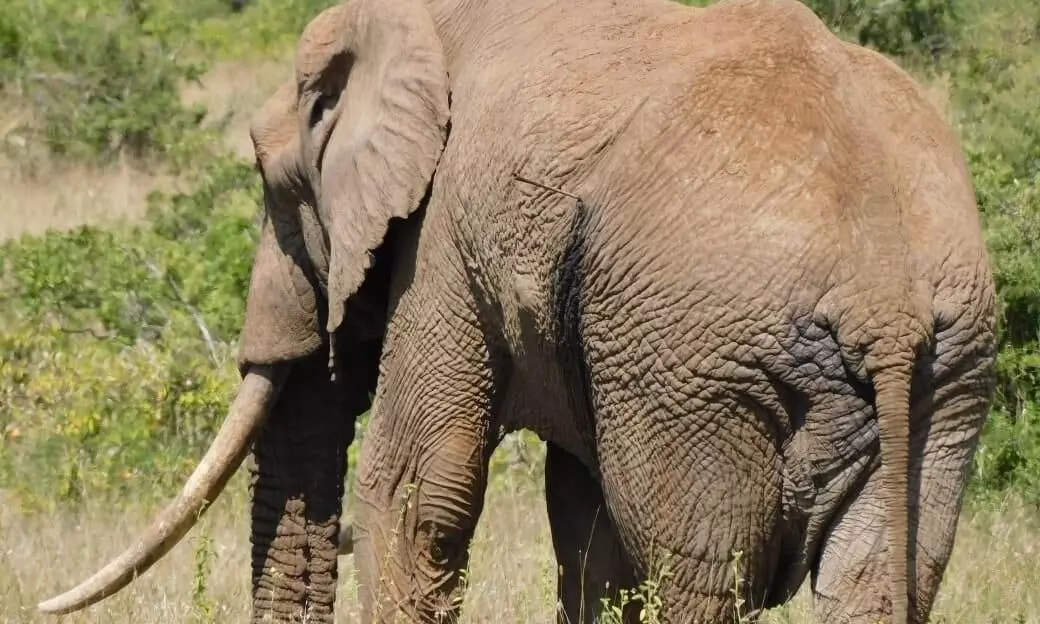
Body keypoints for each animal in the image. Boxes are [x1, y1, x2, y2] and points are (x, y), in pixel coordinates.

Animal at [38, 0, 996, 622]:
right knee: (878, 580)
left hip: (700, 364)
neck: (419, 24)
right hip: (946, 372)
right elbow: (585, 528)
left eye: (269, 180)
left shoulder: (443, 238)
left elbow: (416, 485)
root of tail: (884, 299)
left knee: (696, 573)